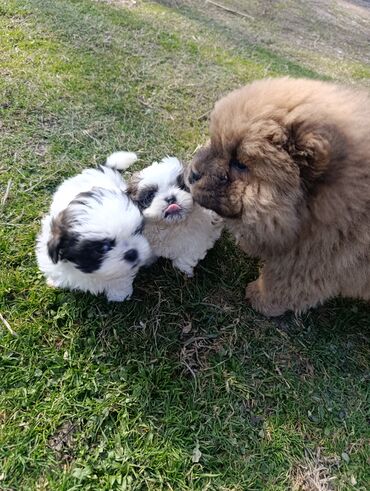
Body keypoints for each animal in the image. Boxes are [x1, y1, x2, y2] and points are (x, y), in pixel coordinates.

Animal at [188, 77, 370, 316]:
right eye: (214, 142)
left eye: (240, 164)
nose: (192, 173)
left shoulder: (314, 260)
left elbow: (280, 284)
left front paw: (259, 298)